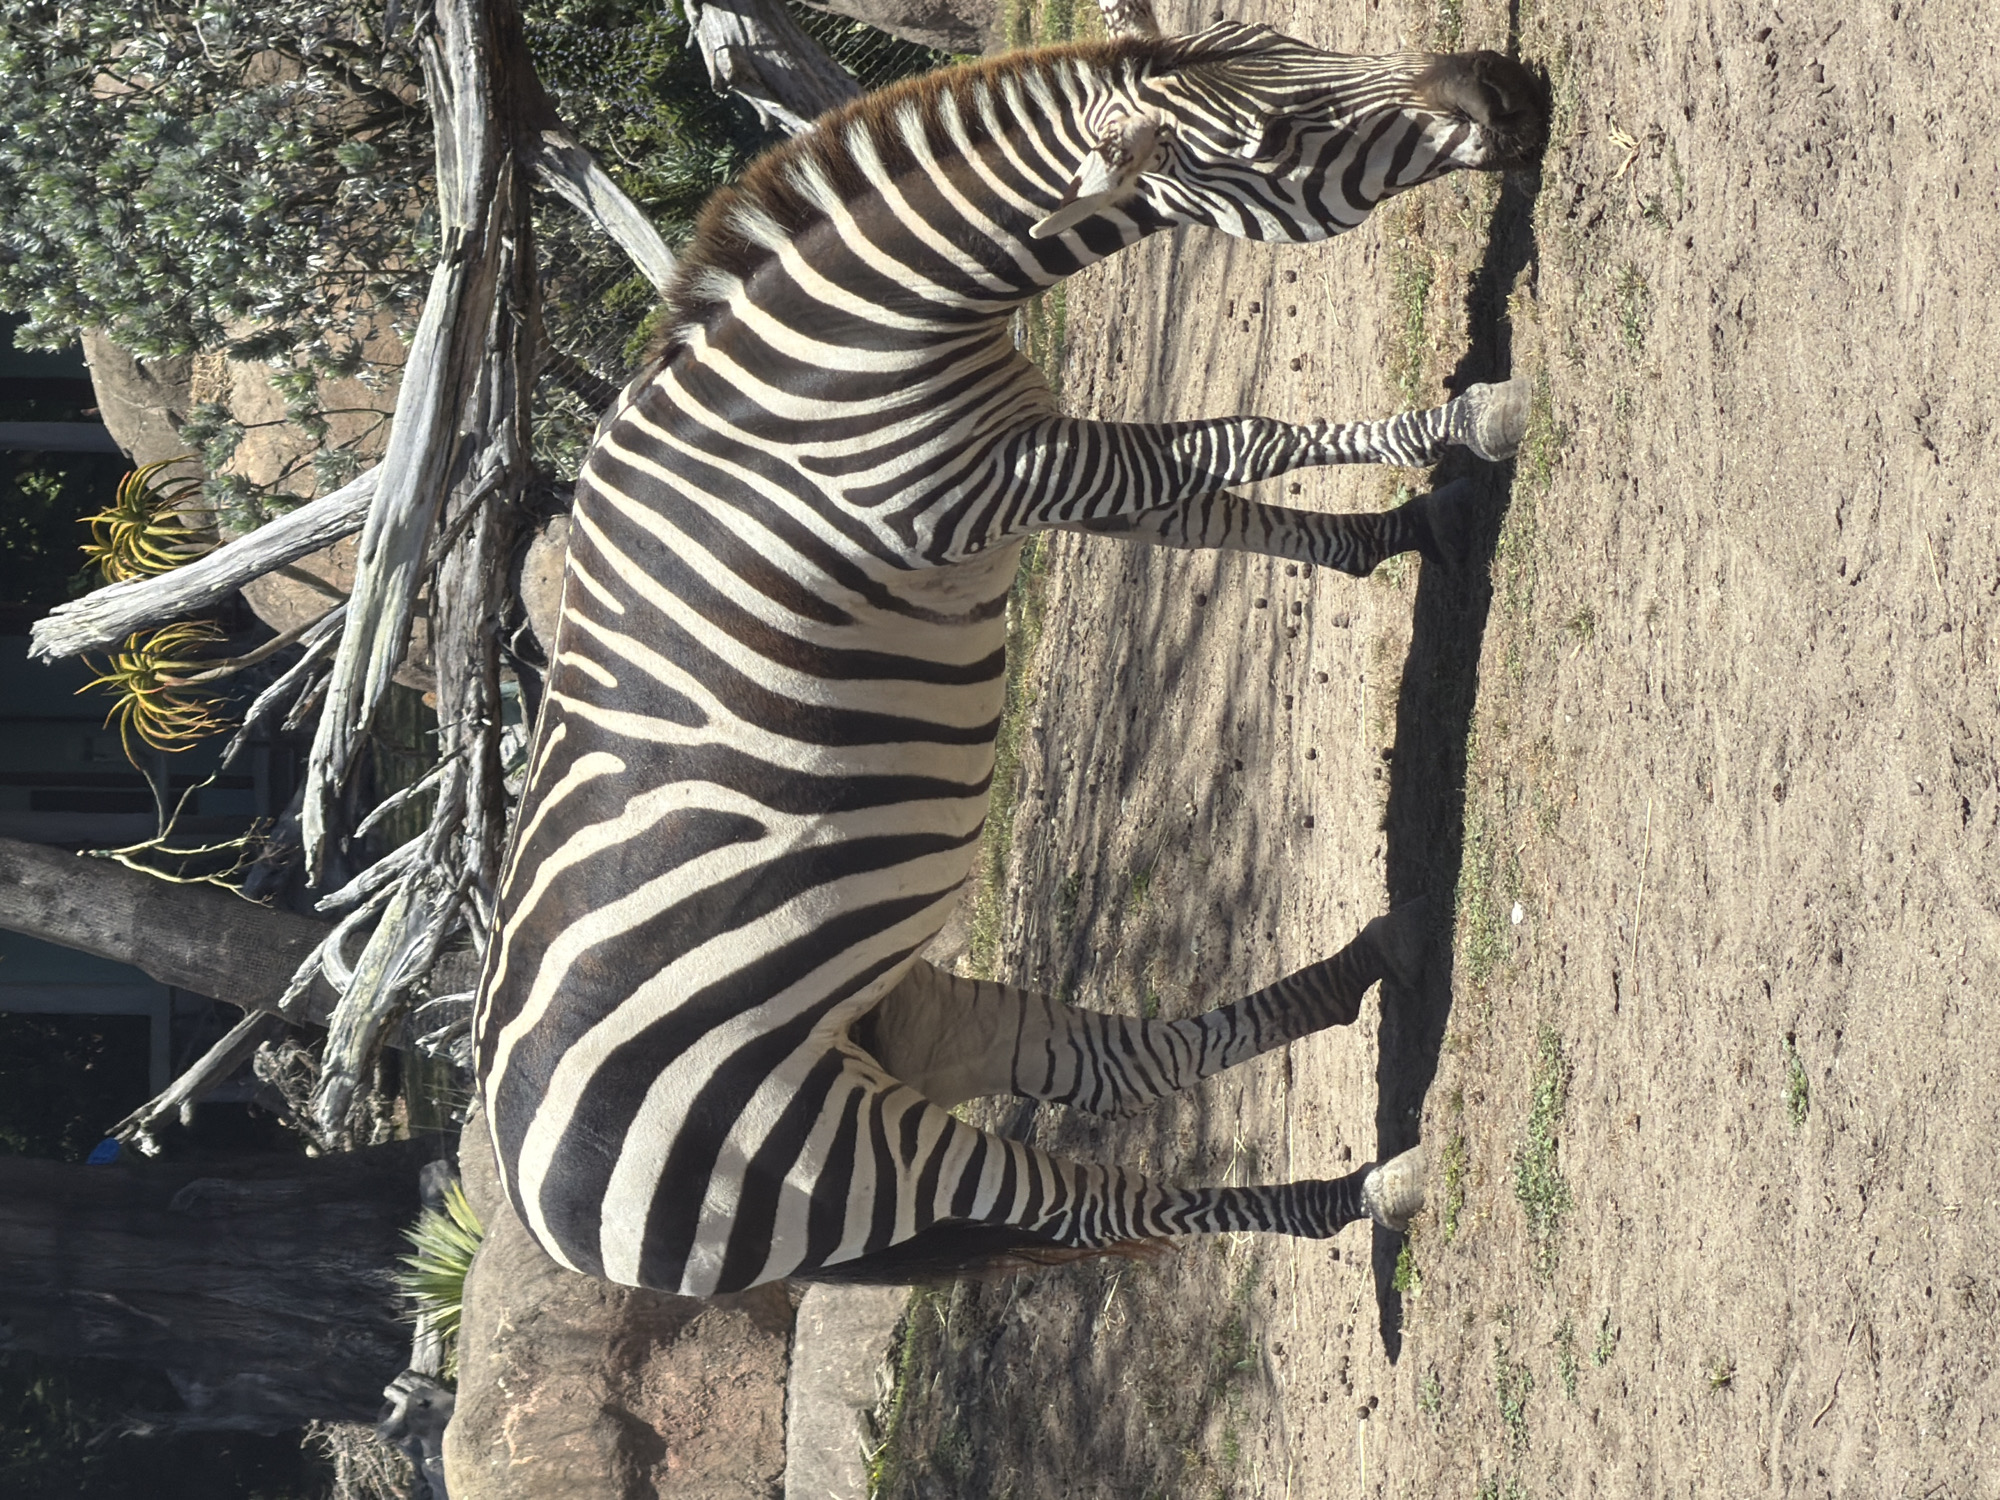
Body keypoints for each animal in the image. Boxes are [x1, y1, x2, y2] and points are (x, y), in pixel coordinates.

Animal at [473, 18, 1547, 1296]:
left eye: (1293, 43)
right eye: (1280, 138)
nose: (1504, 89)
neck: (868, 344)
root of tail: (536, 1205)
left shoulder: (1039, 473)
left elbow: (1222, 510)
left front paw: (1401, 526)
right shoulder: (998, 483)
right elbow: (1242, 439)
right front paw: (1468, 425)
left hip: (889, 1021)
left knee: (1105, 1066)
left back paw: (1368, 967)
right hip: (827, 1149)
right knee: (1085, 1205)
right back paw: (1375, 1185)